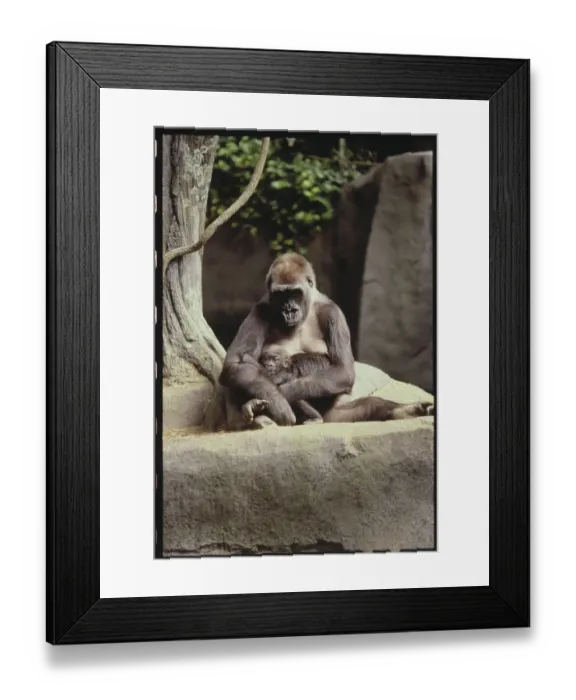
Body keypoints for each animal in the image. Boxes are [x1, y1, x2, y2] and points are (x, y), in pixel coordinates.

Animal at [219, 252, 433, 429]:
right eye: (280, 294)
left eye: (295, 292)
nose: (289, 310)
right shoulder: (260, 309)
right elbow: (237, 362)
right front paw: (276, 400)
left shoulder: (332, 312)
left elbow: (342, 370)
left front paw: (282, 393)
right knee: (243, 371)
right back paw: (256, 416)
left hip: (333, 416)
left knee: (367, 406)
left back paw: (406, 410)